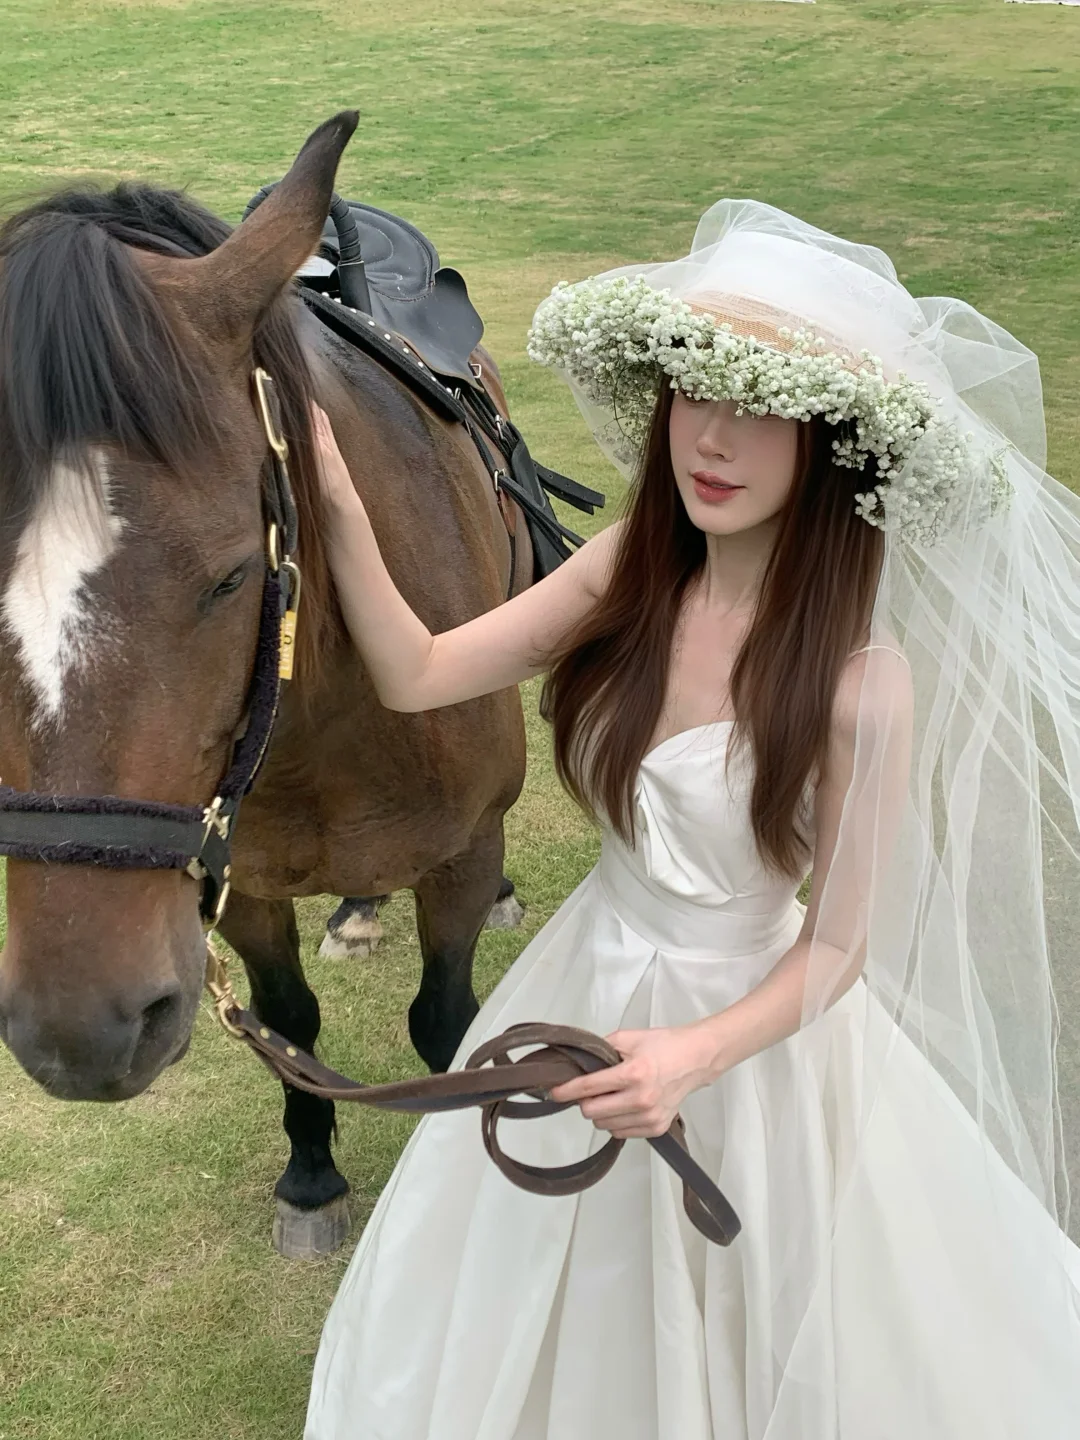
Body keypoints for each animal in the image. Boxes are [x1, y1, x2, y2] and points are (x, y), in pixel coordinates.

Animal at [0, 112, 541, 1257]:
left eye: (231, 575)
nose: (81, 1032)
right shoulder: (238, 879)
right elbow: (290, 1026)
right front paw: (310, 1176)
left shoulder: (462, 852)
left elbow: (448, 1024)